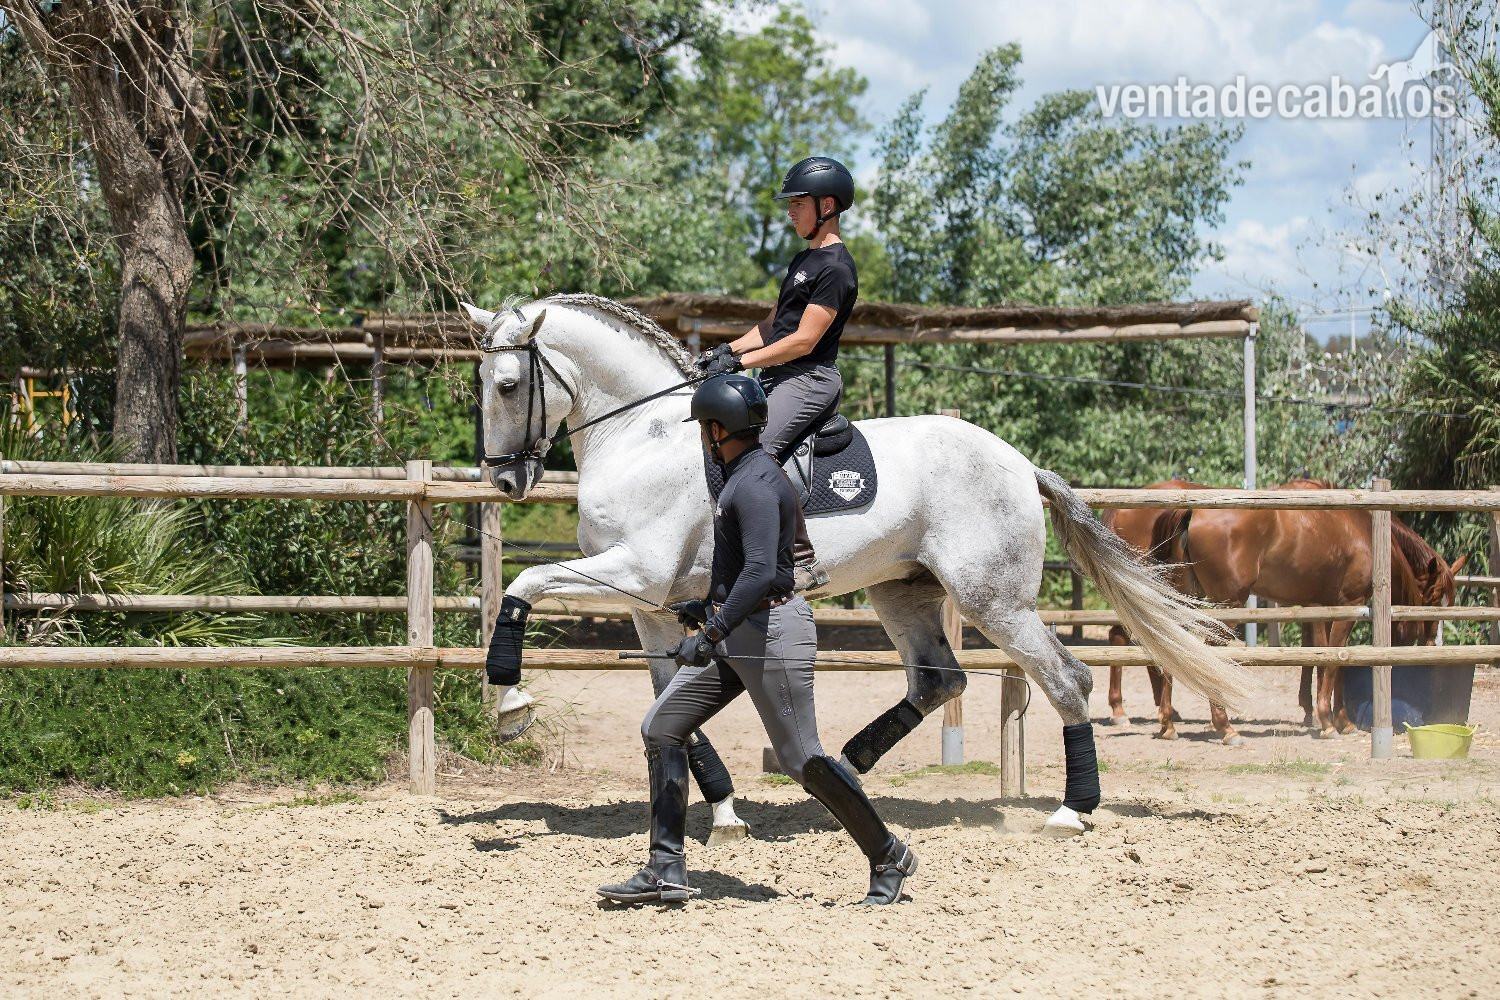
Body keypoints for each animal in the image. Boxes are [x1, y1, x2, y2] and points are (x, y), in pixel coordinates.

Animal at [468, 294, 1250, 837]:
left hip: (994, 600)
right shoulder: (649, 606)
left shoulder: (635, 570)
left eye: (506, 384)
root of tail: (1020, 463)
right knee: (940, 679)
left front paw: (510, 700)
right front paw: (724, 810)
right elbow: (671, 706)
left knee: (1066, 679)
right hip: (903, 593)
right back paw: (853, 761)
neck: (643, 436)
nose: (504, 481)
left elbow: (524, 582)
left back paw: (1071, 810)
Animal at [1110, 479, 1464, 739]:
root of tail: (1191, 510)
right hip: (1228, 603)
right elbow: (1335, 661)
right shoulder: (1346, 606)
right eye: (1435, 600)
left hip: (1175, 596)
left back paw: (1168, 722)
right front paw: (1328, 722)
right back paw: (1223, 726)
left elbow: (1323, 659)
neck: (1364, 528)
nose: (1432, 644)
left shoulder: (1319, 605)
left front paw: (1333, 718)